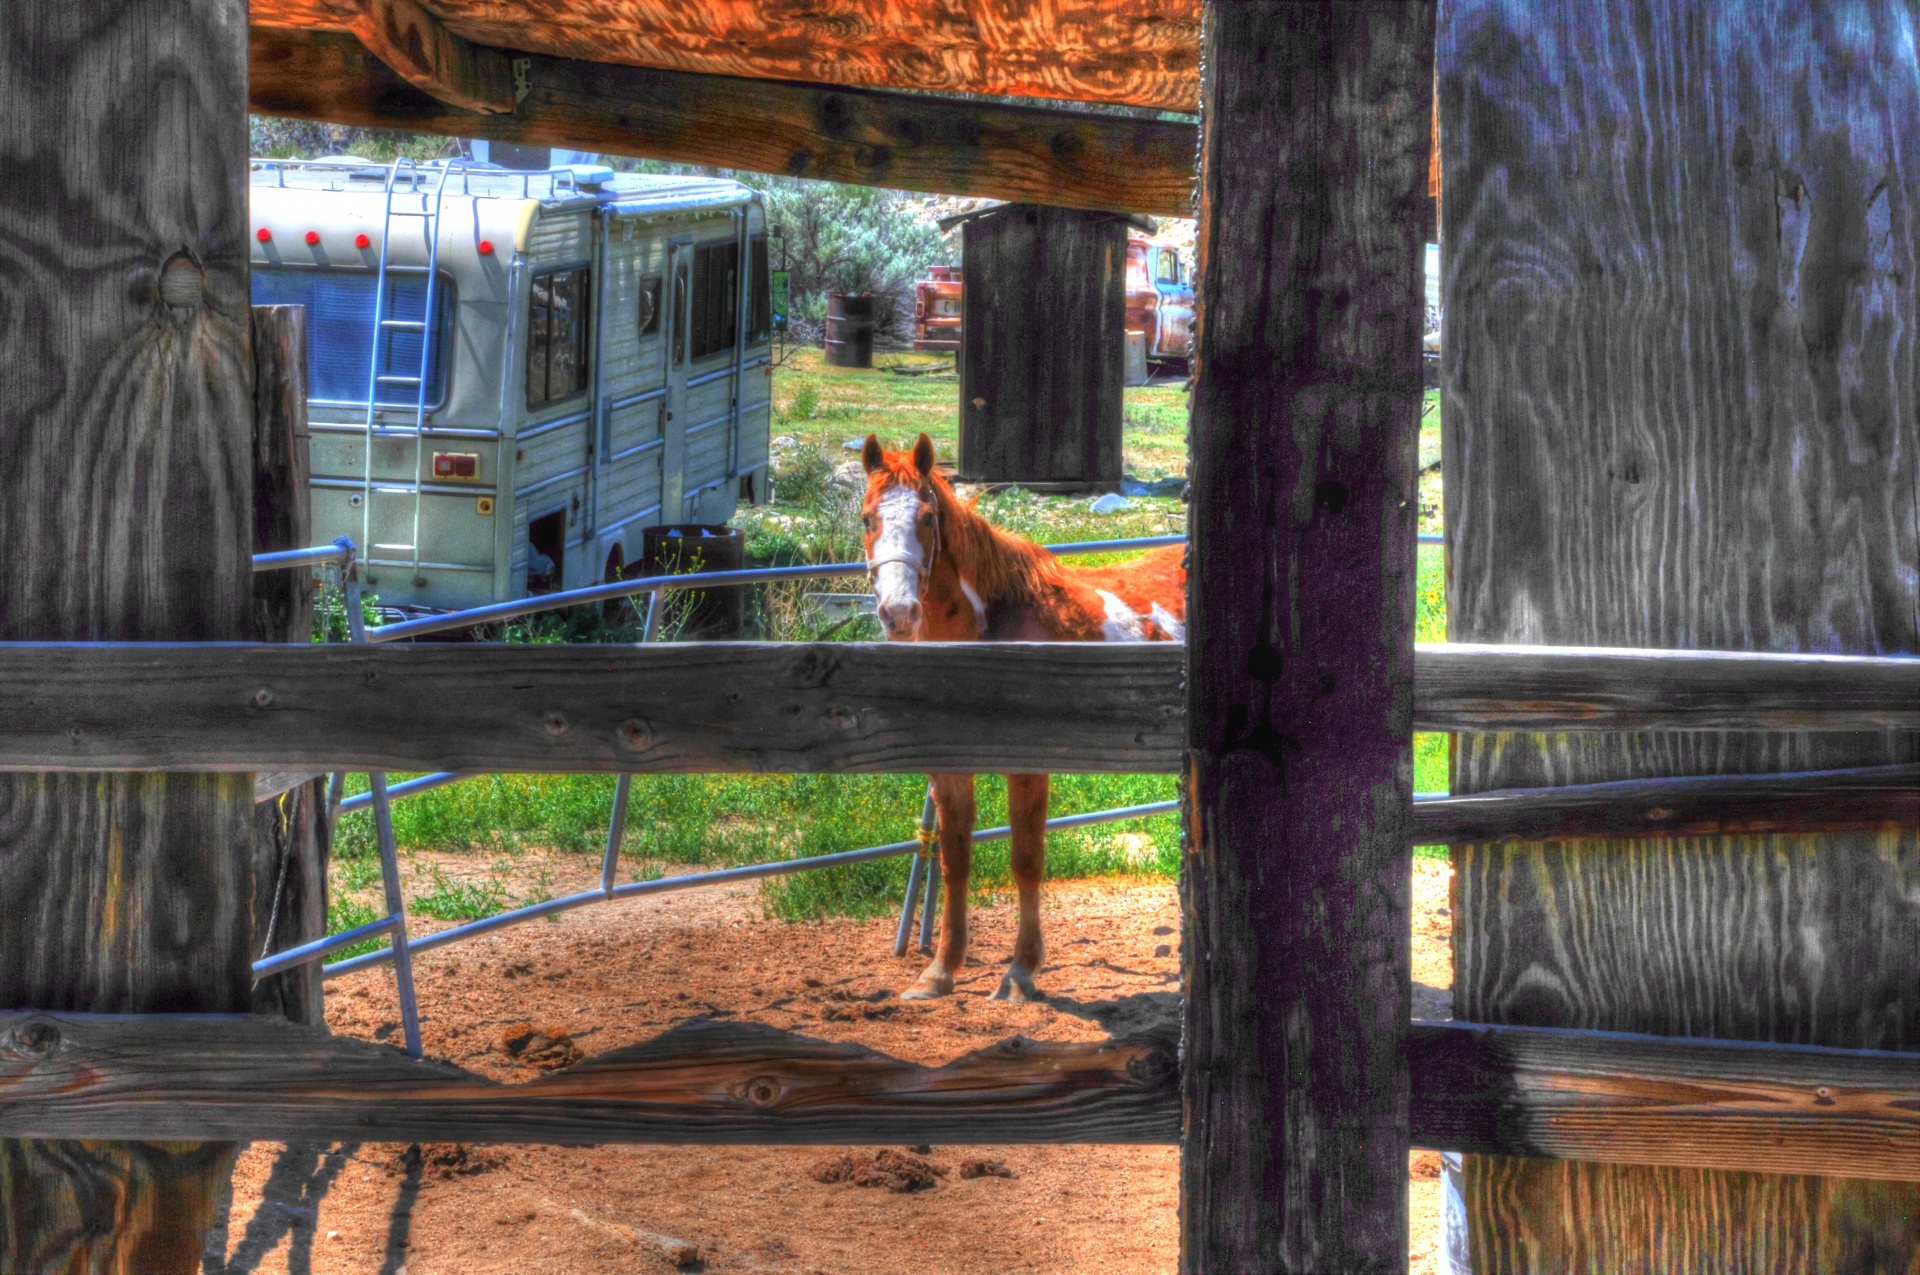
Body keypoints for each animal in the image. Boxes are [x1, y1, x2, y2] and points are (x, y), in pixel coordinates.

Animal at [860, 433, 1182, 998]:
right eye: (866, 518)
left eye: (927, 517)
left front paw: (1020, 970)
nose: (899, 614)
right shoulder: (950, 770)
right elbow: (955, 860)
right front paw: (940, 971)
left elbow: (1027, 861)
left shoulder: (1028, 765)